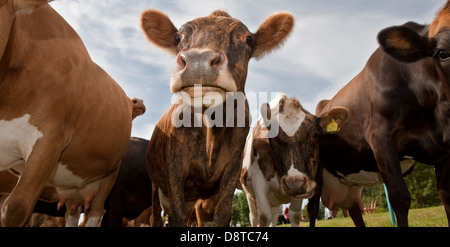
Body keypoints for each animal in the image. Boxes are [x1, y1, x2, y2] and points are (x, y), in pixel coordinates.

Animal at [142, 9, 296, 226]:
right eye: (177, 38)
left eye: (248, 39)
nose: (198, 63)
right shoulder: (175, 170)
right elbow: (178, 216)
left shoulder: (232, 170)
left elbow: (223, 214)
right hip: (156, 186)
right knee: (157, 217)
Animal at [241, 92, 350, 226]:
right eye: (272, 138)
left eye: (315, 135)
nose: (294, 184)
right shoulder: (258, 181)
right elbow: (264, 217)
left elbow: (294, 215)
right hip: (250, 196)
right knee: (254, 217)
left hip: (275, 203)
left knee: (273, 217)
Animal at [308, 1, 450, 227]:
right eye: (442, 53)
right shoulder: (381, 138)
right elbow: (400, 198)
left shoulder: (445, 146)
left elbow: (445, 195)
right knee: (312, 208)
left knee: (354, 209)